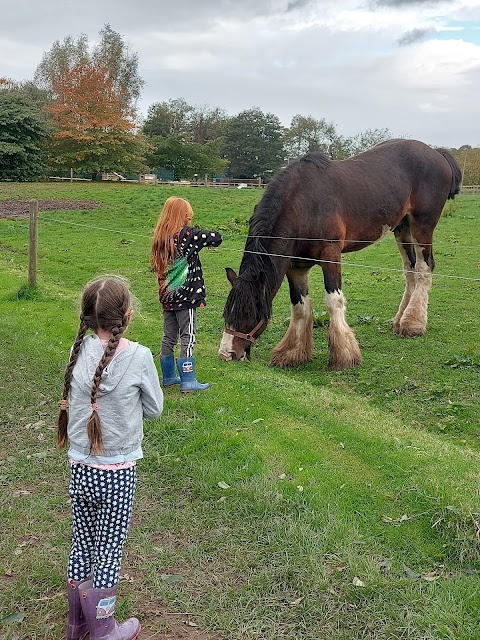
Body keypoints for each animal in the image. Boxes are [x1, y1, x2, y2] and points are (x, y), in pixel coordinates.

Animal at [219, 140, 464, 370]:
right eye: (227, 313)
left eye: (250, 312)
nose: (226, 354)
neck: (303, 203)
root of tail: (435, 152)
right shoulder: (296, 266)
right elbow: (299, 307)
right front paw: (292, 353)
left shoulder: (331, 256)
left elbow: (333, 301)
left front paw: (344, 356)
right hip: (402, 227)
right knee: (410, 270)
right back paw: (400, 321)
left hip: (422, 225)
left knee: (424, 268)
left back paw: (413, 324)